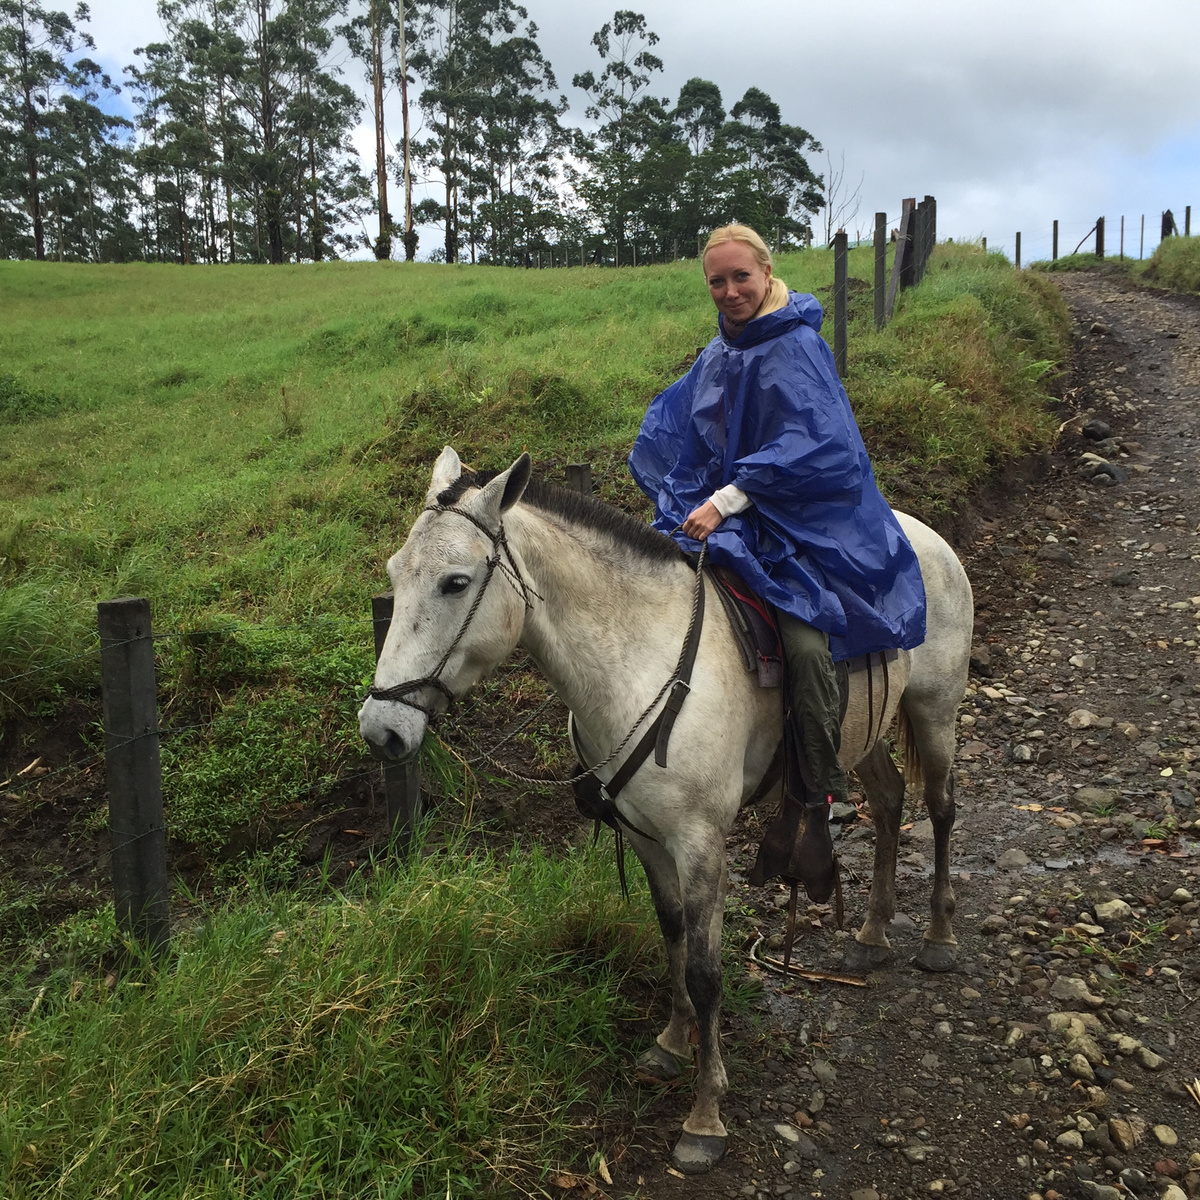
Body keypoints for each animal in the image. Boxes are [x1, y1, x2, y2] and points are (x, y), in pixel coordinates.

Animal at [359, 447, 974, 1175]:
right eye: (395, 575)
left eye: (455, 583)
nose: (380, 729)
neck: (637, 662)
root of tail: (923, 535)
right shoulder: (647, 838)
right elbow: (671, 934)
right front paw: (673, 1042)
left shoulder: (701, 842)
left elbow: (707, 972)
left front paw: (705, 1115)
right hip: (866, 732)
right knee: (888, 803)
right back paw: (873, 933)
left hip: (934, 708)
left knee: (940, 807)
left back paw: (938, 937)